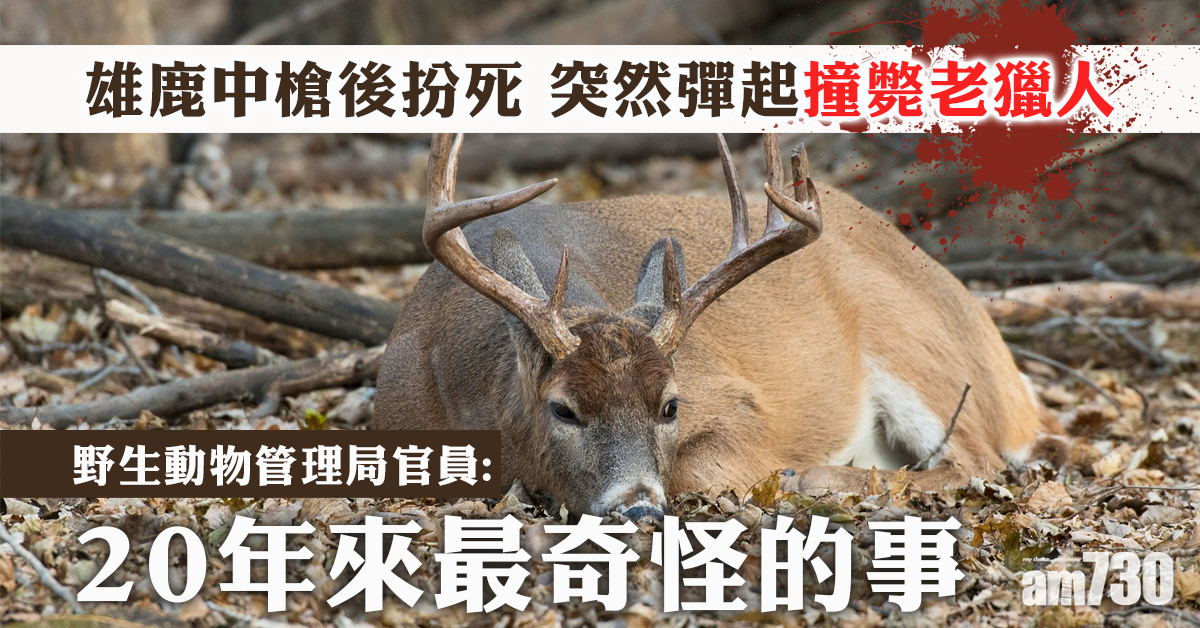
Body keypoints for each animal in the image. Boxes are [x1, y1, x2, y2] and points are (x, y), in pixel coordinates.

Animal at [375, 132, 1064, 522]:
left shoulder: (737, 402)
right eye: (564, 409)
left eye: (671, 405)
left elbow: (704, 467)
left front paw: (783, 475)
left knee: (978, 458)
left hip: (916, 342)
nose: (638, 506)